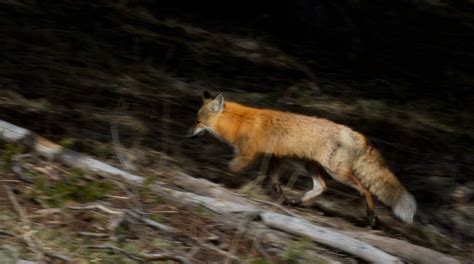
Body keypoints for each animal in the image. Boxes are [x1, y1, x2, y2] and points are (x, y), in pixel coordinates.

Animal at [187, 91, 416, 227]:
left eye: (198, 121)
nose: (187, 134)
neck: (239, 121)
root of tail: (352, 132)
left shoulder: (247, 154)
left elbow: (230, 169)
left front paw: (218, 183)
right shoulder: (276, 156)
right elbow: (273, 179)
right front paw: (280, 196)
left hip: (337, 172)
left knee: (365, 190)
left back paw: (371, 218)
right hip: (311, 166)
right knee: (322, 187)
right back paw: (296, 201)